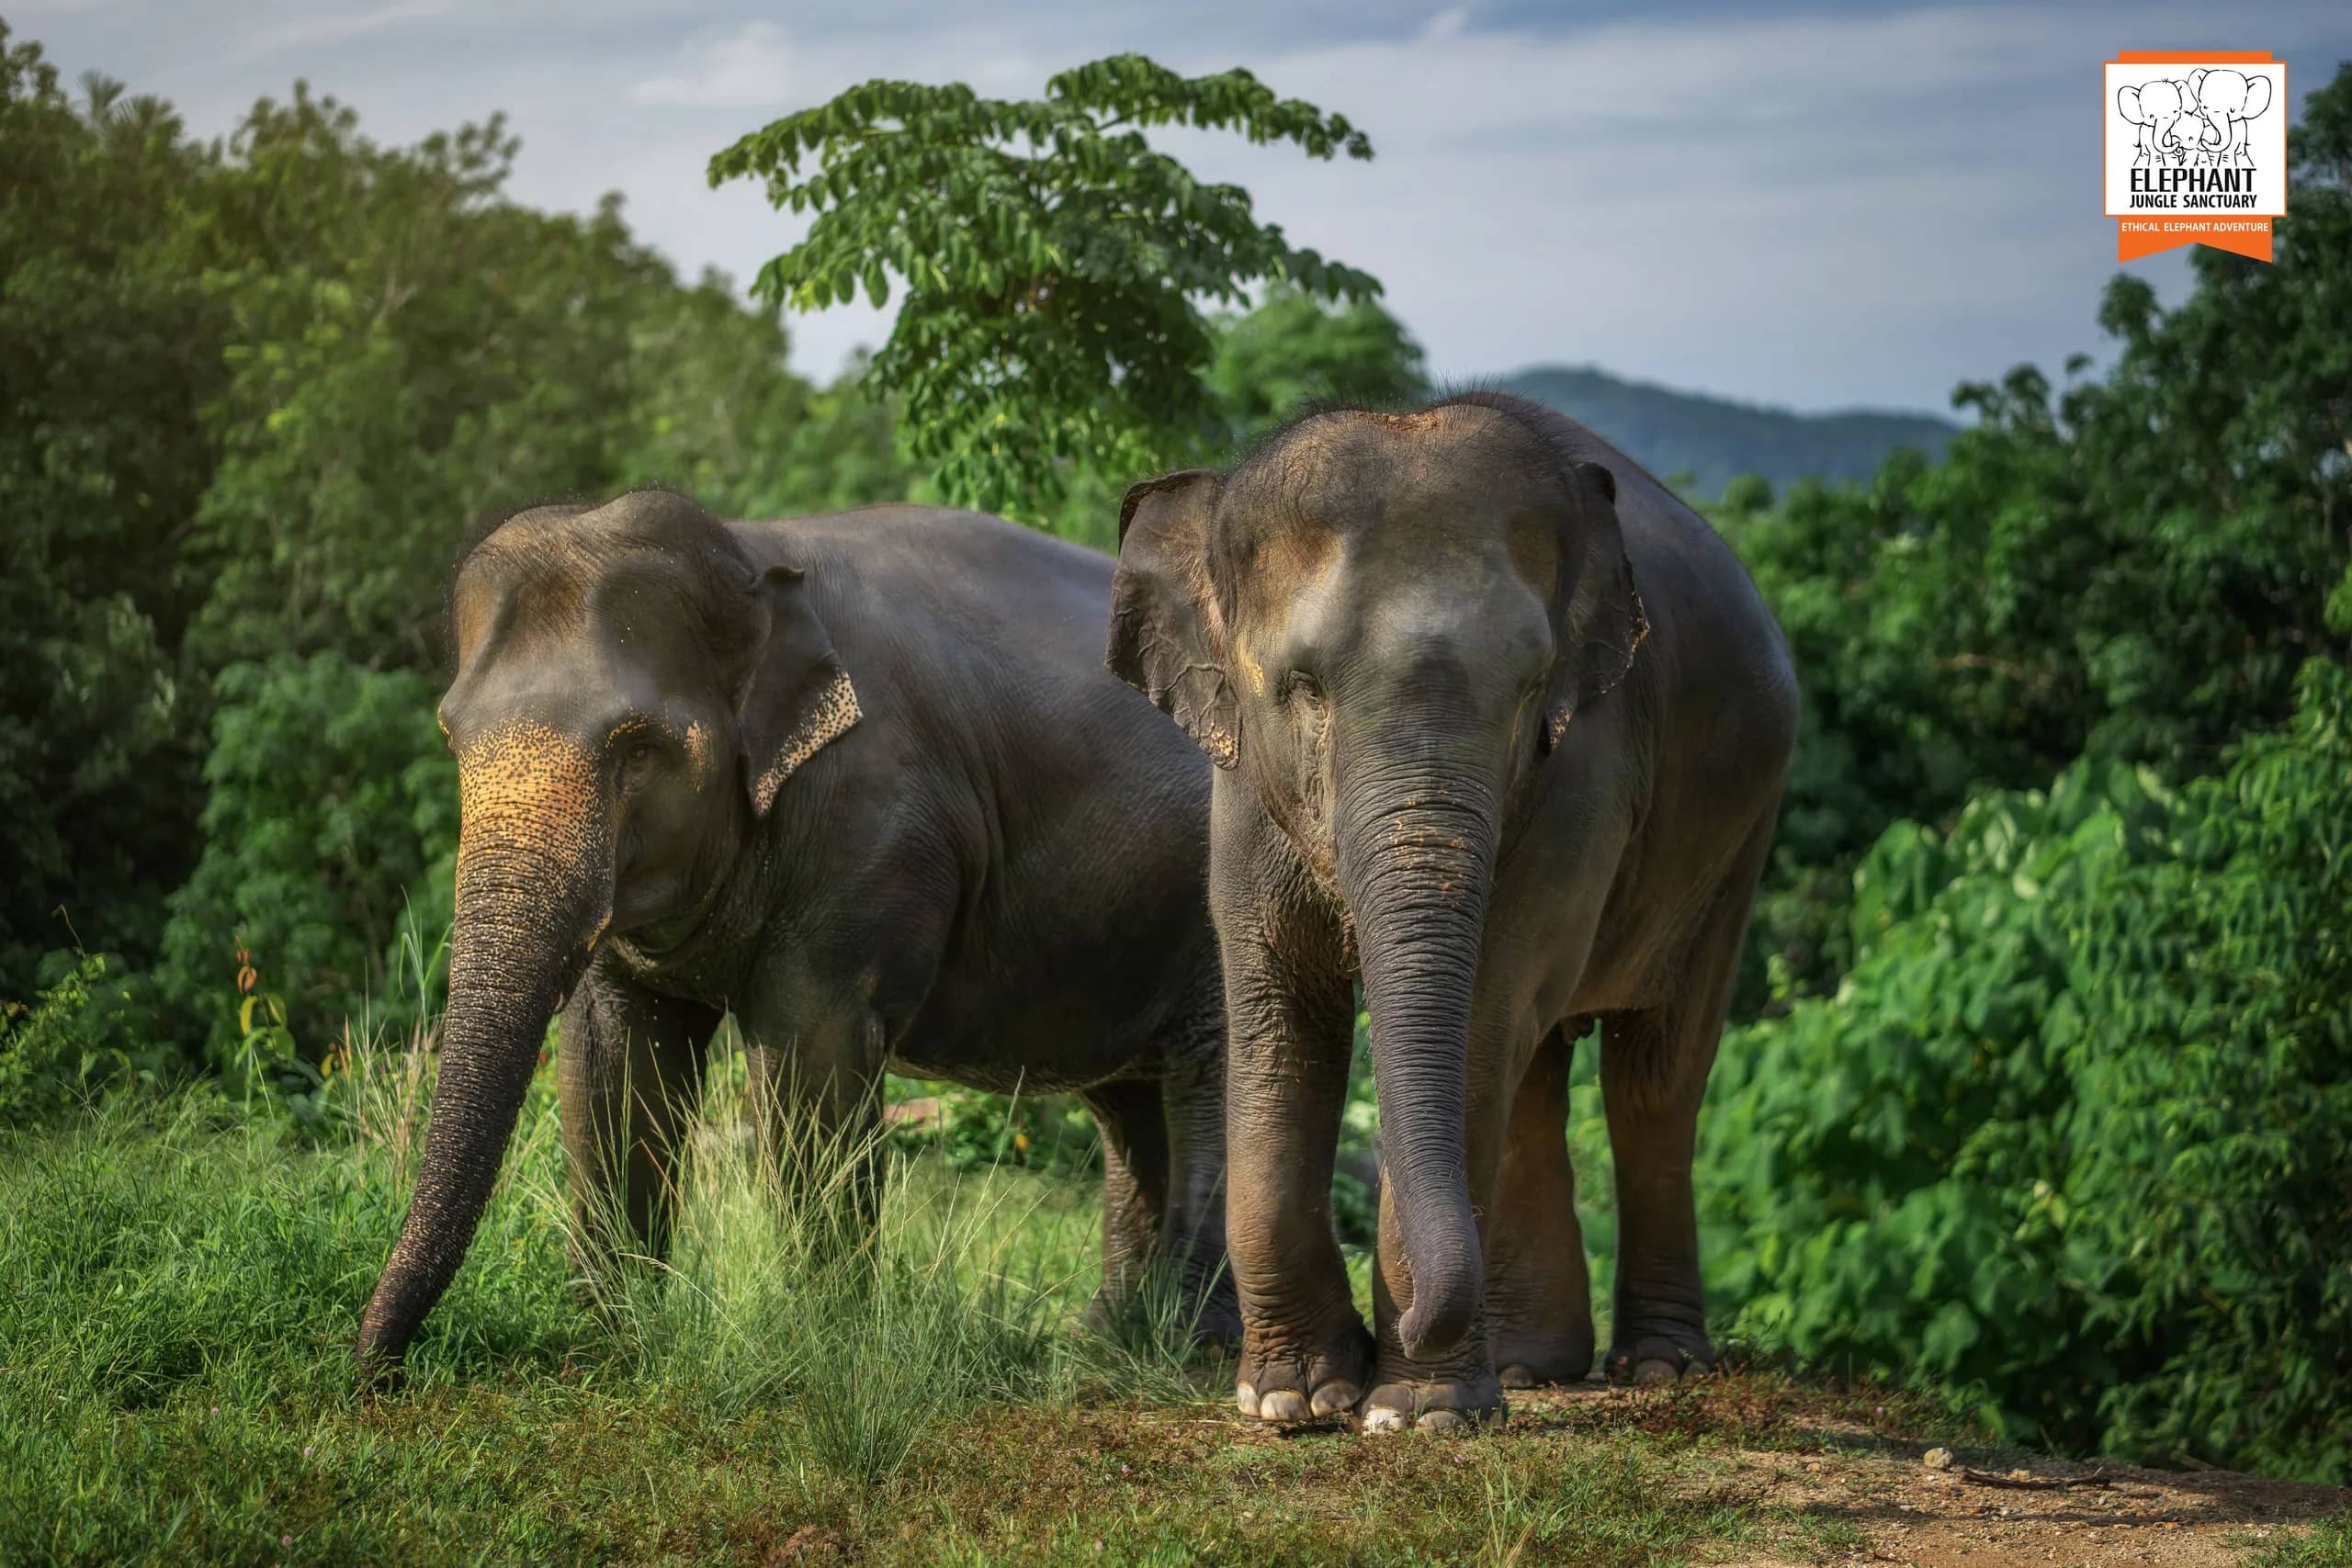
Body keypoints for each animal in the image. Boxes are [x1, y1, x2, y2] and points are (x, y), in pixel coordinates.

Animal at [355, 489, 1236, 1377]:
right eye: (452, 736)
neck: (749, 556)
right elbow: (611, 1053)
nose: (373, 1367)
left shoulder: (871, 822)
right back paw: (1111, 1339)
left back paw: (1195, 1347)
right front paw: (608, 1342)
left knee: (1213, 1076)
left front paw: (826, 1349)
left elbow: (810, 1050)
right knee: (1130, 1103)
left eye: (638, 749)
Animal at [1106, 391, 1798, 1431]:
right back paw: (1527, 1363)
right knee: (1539, 1075)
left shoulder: (1583, 769)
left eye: (1529, 691)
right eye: (1303, 688)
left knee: (1652, 1076)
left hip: (1739, 837)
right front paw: (1293, 1399)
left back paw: (1657, 1368)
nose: (1387, 1327)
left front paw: (1416, 1411)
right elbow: (1278, 1013)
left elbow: (1479, 1019)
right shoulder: (1240, 789)